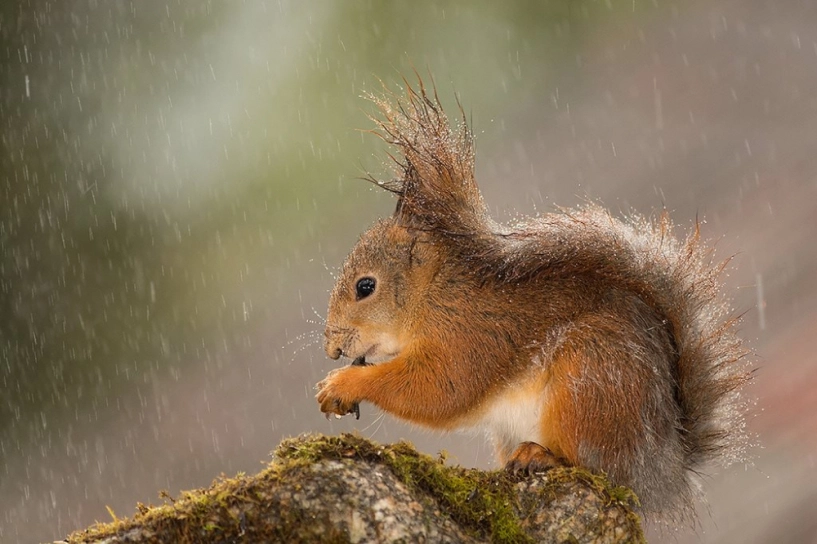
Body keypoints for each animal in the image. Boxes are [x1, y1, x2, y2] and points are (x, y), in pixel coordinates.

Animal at [316, 78, 748, 516]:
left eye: (365, 286)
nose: (333, 348)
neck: (434, 292)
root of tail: (662, 468)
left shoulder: (469, 334)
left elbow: (441, 389)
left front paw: (343, 383)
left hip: (590, 380)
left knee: (596, 467)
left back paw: (543, 456)